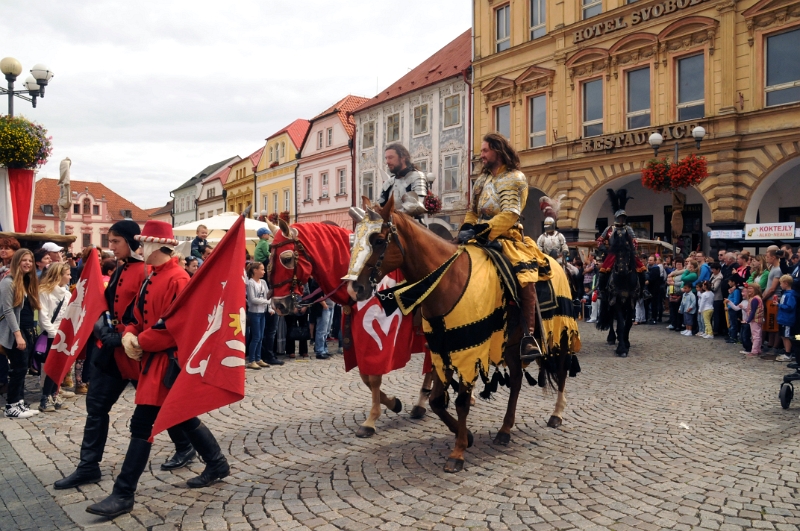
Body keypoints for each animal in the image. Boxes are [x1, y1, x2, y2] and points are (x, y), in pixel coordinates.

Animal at [346, 198, 580, 474]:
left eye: (379, 240)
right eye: (354, 240)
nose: (354, 289)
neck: (447, 279)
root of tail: (555, 264)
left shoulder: (470, 353)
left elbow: (461, 402)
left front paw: (457, 453)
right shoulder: (441, 350)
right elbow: (437, 401)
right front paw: (465, 435)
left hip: (561, 332)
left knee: (561, 371)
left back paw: (556, 414)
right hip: (512, 345)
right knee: (516, 382)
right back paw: (505, 429)